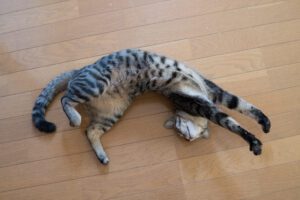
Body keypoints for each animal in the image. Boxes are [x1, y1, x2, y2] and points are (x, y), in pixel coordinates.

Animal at [31, 48, 270, 164]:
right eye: (179, 131)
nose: (186, 138)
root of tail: (80, 68)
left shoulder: (215, 93)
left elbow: (243, 105)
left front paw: (265, 123)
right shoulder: (201, 104)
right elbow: (231, 122)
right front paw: (254, 142)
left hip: (112, 112)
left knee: (91, 131)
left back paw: (102, 156)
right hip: (95, 85)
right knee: (66, 99)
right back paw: (74, 118)